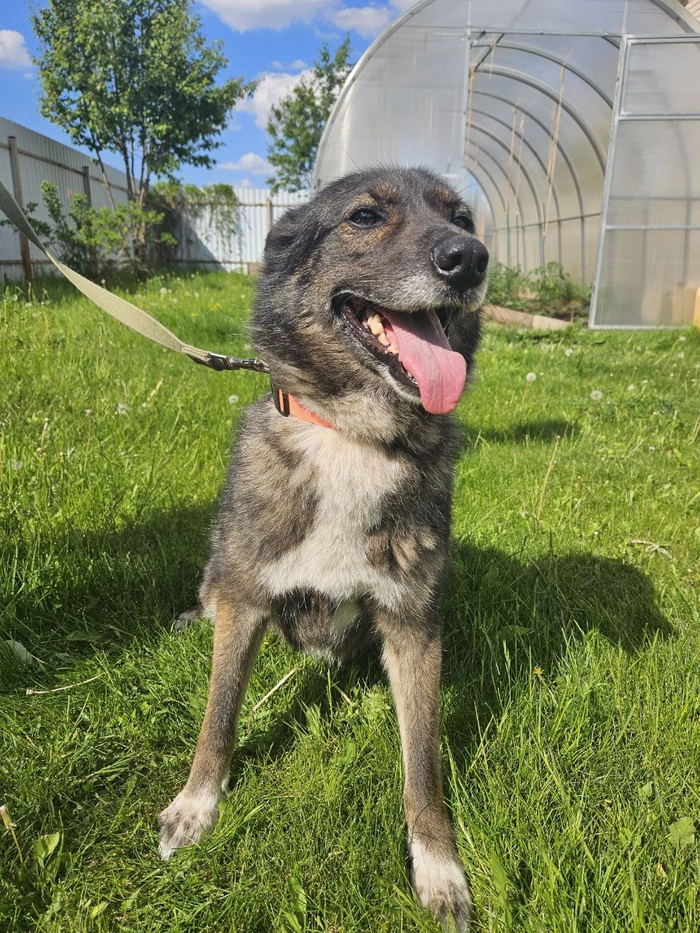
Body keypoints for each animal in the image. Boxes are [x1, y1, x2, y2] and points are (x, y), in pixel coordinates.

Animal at [158, 166, 488, 930]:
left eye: (463, 219)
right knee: (207, 594)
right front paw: (195, 806)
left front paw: (438, 868)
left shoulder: (415, 629)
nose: (470, 260)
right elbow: (218, 716)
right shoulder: (246, 602)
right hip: (221, 563)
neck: (354, 438)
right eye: (364, 217)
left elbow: (424, 767)